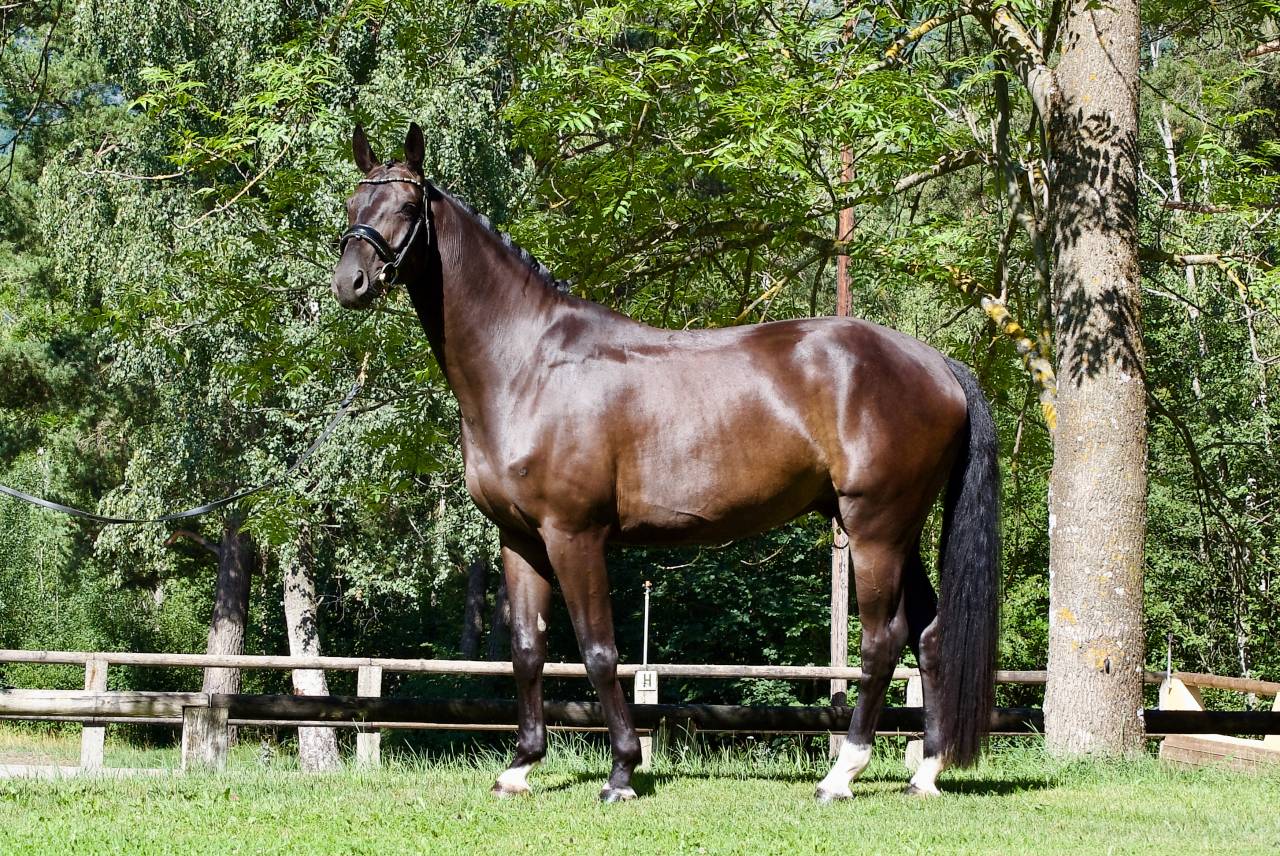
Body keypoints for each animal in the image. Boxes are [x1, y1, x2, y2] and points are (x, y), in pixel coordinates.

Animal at [330, 123, 1000, 802]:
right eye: (354, 203)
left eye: (406, 207)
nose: (349, 282)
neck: (528, 364)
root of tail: (936, 363)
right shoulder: (519, 538)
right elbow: (526, 650)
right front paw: (520, 767)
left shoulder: (574, 535)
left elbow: (599, 652)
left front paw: (622, 773)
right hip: (898, 530)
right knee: (931, 635)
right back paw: (926, 773)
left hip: (874, 529)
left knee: (882, 641)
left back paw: (842, 774)